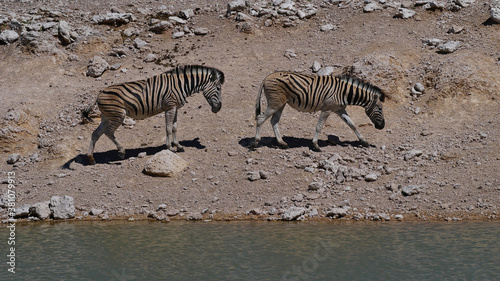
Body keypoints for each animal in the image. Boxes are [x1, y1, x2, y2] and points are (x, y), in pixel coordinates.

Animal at [82, 63, 225, 164]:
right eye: (218, 88)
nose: (218, 108)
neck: (182, 85)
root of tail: (100, 94)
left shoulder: (176, 108)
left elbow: (175, 127)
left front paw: (178, 145)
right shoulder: (170, 107)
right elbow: (168, 128)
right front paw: (170, 147)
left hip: (107, 116)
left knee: (96, 133)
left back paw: (91, 158)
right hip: (118, 115)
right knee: (108, 132)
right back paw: (121, 152)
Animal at [252, 71, 384, 152]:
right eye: (380, 108)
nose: (382, 126)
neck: (345, 92)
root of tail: (267, 77)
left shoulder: (339, 109)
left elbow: (352, 124)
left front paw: (364, 141)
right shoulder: (327, 109)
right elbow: (319, 126)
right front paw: (315, 145)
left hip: (281, 103)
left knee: (274, 121)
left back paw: (282, 143)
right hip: (275, 103)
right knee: (261, 118)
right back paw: (255, 143)